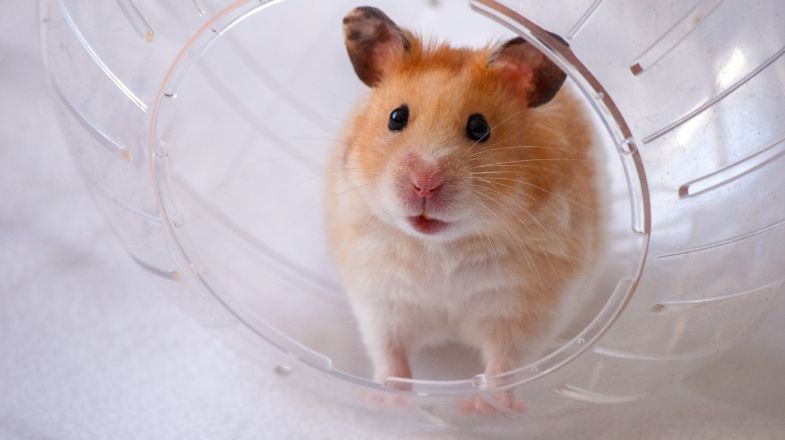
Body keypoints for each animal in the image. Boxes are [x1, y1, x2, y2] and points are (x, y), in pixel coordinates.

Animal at [326, 6, 602, 407]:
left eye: (479, 127)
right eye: (396, 117)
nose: (424, 183)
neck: (441, 246)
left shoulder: (523, 307)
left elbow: (505, 362)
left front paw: (484, 409)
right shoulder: (380, 296)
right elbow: (390, 353)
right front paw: (388, 401)